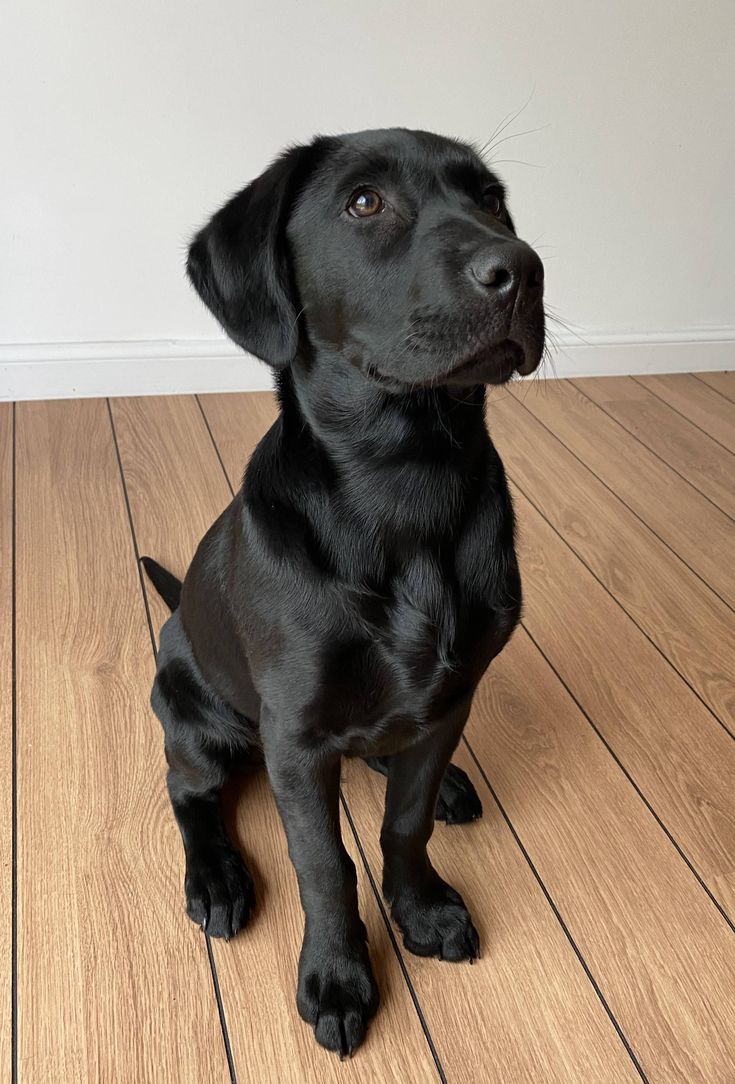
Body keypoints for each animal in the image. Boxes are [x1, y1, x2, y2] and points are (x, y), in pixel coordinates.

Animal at [145, 124, 546, 1049]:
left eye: (491, 199)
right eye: (364, 202)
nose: (522, 268)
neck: (408, 480)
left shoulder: (453, 694)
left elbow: (404, 819)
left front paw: (420, 905)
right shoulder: (295, 738)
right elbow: (322, 864)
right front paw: (336, 975)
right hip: (193, 713)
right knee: (189, 791)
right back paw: (215, 878)